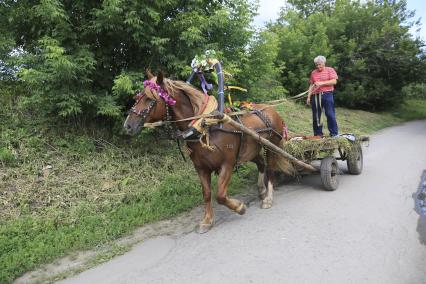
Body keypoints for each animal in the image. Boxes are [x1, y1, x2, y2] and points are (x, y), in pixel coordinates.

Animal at [125, 71, 294, 233]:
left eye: (149, 99)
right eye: (138, 97)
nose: (127, 126)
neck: (205, 127)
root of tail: (272, 110)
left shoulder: (227, 164)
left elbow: (220, 195)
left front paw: (239, 207)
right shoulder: (201, 168)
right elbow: (206, 194)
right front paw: (207, 221)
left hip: (272, 147)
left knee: (270, 169)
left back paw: (268, 199)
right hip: (251, 151)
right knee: (261, 164)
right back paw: (262, 191)